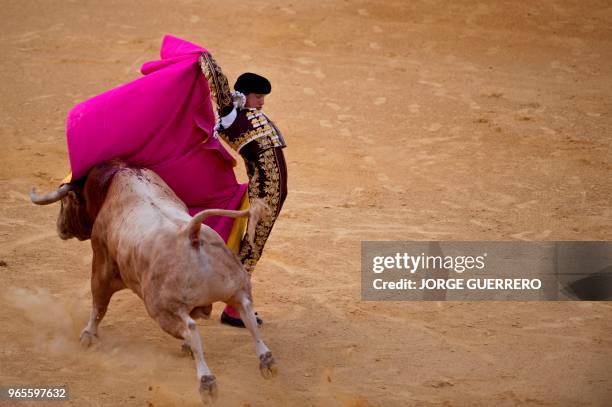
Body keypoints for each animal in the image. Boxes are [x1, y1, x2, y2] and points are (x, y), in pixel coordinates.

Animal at [29, 161, 276, 404]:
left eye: (65, 201)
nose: (60, 227)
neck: (114, 179)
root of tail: (191, 232)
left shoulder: (101, 262)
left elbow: (98, 304)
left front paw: (87, 336)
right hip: (236, 287)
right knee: (246, 312)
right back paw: (266, 360)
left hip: (161, 309)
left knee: (190, 328)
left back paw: (207, 382)